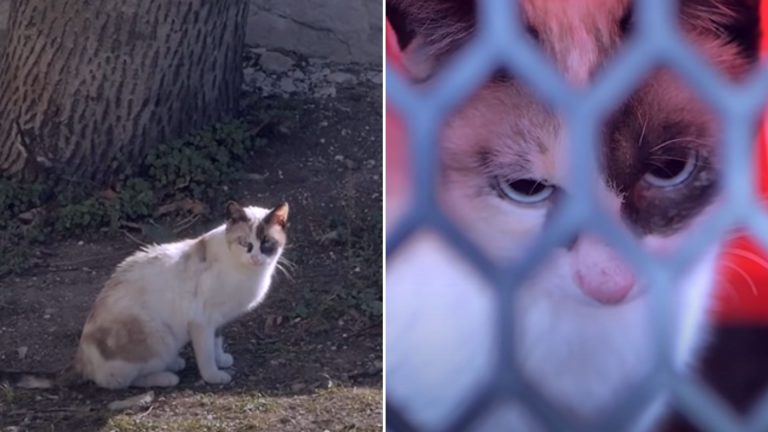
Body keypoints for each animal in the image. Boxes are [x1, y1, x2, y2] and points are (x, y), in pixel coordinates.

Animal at [3, 201, 288, 390]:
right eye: (245, 244)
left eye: (267, 244)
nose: (256, 258)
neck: (246, 273)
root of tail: (81, 358)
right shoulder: (202, 321)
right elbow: (206, 354)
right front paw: (214, 375)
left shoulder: (217, 320)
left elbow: (217, 344)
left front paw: (223, 361)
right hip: (157, 335)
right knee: (119, 381)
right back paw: (167, 375)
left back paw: (173, 364)